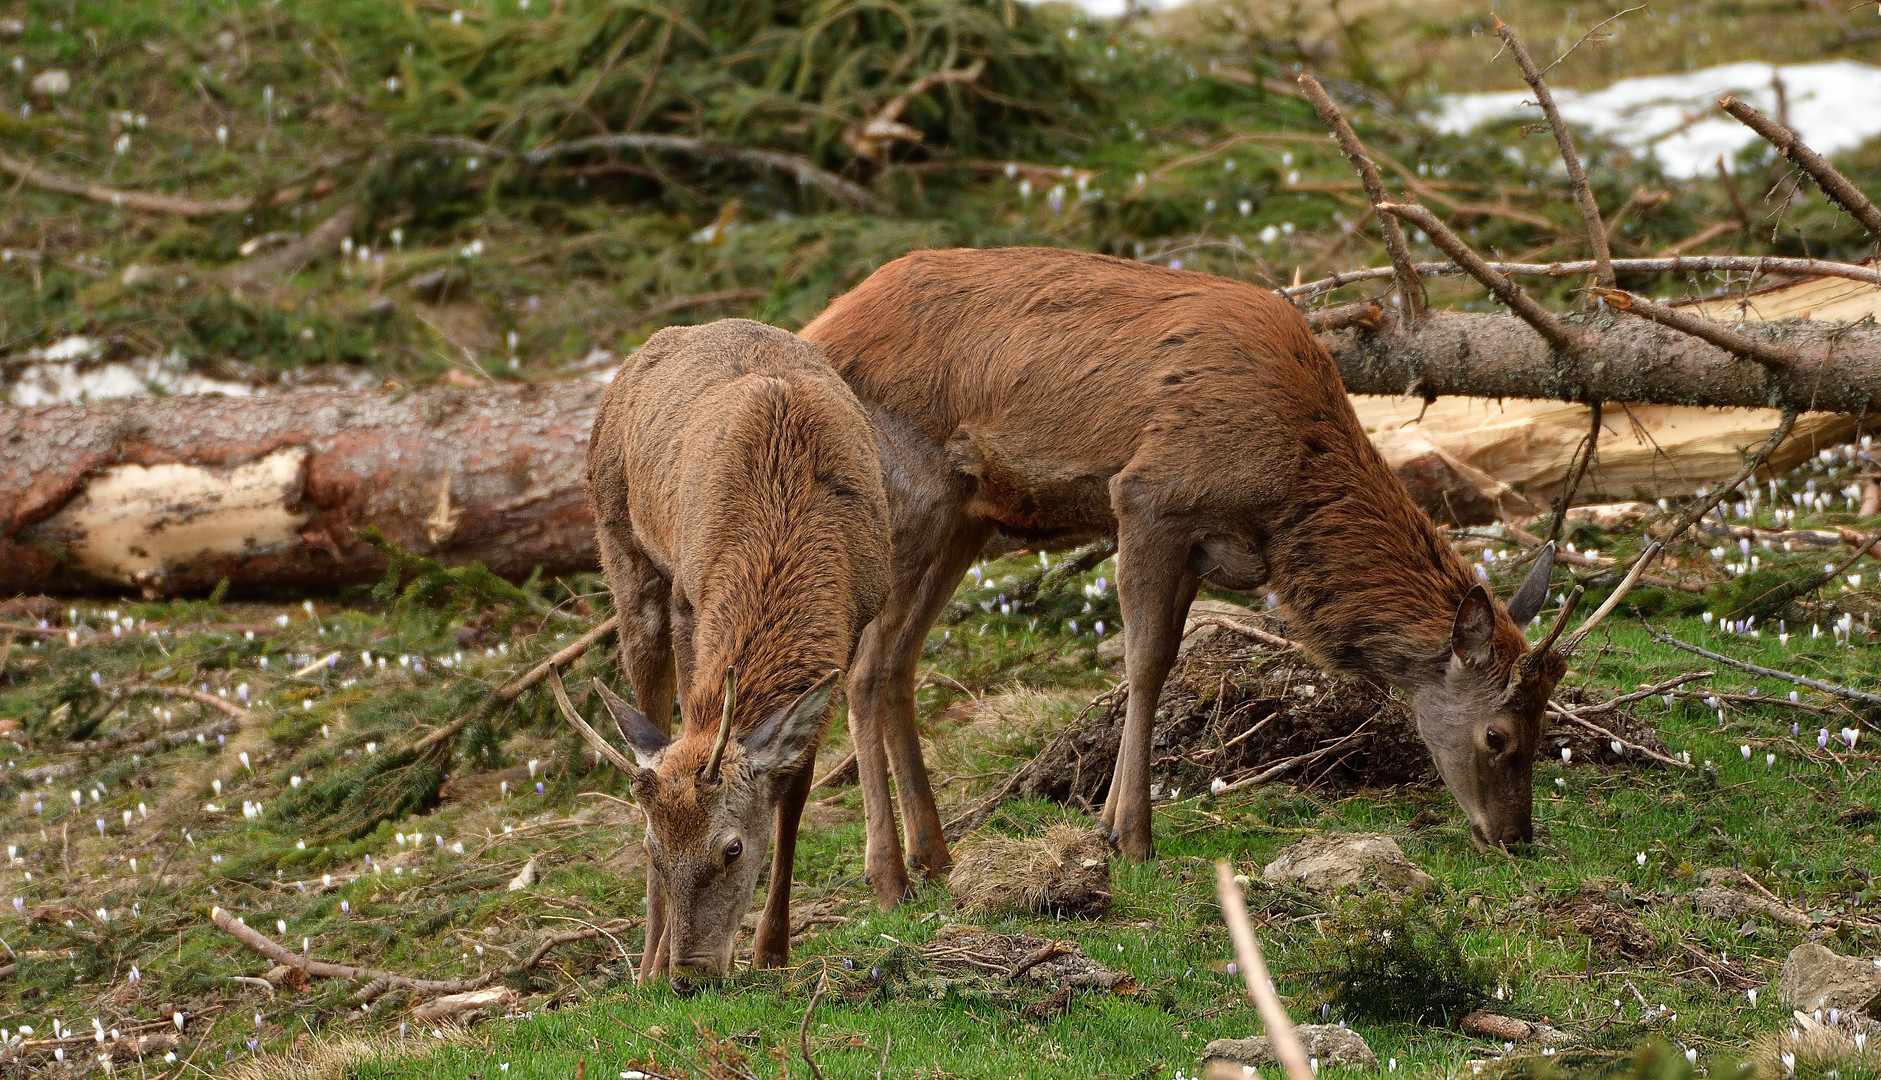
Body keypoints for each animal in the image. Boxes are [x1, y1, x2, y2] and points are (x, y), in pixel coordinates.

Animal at [564, 319, 887, 978]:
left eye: (733, 849)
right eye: (653, 848)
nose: (690, 974)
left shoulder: (858, 615)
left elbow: (796, 785)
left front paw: (771, 950)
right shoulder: (692, 597)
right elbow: (691, 721)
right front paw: (665, 959)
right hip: (623, 549)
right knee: (652, 712)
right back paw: (645, 961)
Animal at [801, 248, 1564, 906]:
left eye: (1544, 723)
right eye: (1497, 737)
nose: (1515, 838)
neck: (1286, 495)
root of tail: (817, 330)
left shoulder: (1199, 544)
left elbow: (1163, 661)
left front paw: (1106, 825)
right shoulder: (1148, 497)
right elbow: (1141, 664)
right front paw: (1134, 838)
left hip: (970, 514)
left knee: (899, 662)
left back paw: (933, 856)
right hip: (910, 491)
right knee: (864, 666)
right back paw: (888, 877)